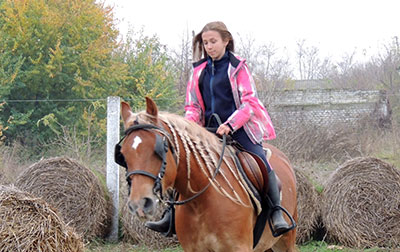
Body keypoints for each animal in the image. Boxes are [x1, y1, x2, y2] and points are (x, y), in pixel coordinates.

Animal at [119, 97, 296, 251]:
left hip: (286, 242)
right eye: (123, 154)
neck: (201, 201)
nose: (139, 204)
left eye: (159, 149)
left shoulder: (239, 247)